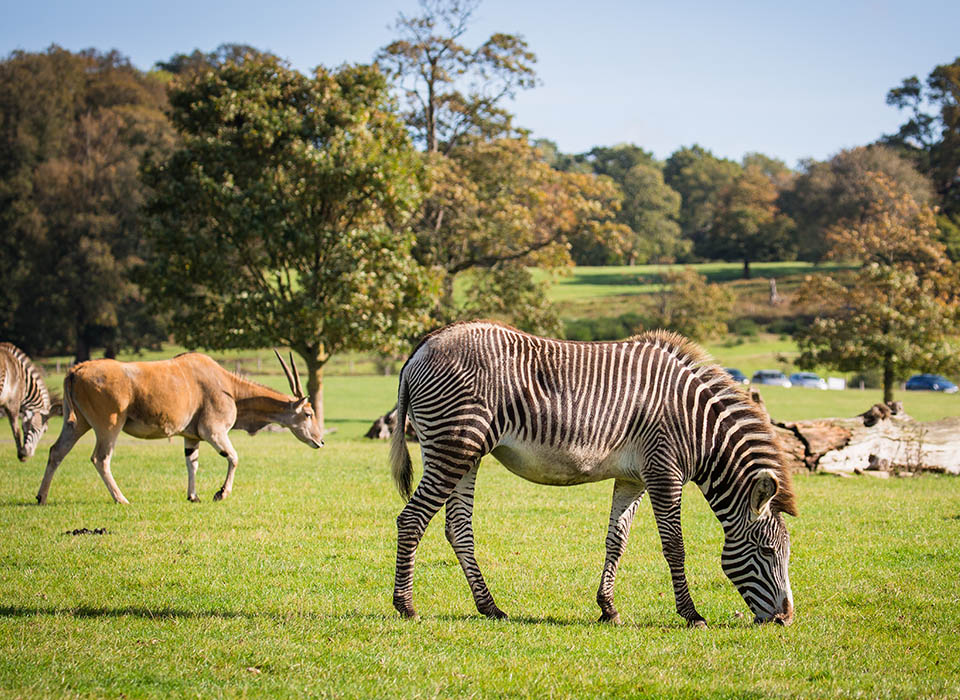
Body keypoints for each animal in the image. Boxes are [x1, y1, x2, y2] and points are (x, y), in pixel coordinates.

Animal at [36, 352, 322, 506]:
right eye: (308, 414)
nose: (320, 442)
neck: (229, 387)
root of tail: (76, 370)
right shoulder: (214, 432)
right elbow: (234, 458)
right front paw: (221, 493)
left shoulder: (191, 437)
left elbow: (191, 463)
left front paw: (193, 496)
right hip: (109, 426)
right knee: (100, 458)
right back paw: (121, 498)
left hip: (77, 424)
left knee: (56, 452)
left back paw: (42, 497)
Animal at [386, 320, 800, 628]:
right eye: (766, 551)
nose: (785, 619)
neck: (697, 426)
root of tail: (425, 344)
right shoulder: (664, 471)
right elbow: (674, 546)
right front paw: (691, 614)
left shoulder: (634, 477)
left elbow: (617, 541)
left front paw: (608, 609)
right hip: (453, 446)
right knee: (411, 519)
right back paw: (406, 606)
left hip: (465, 453)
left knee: (457, 528)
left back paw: (490, 607)